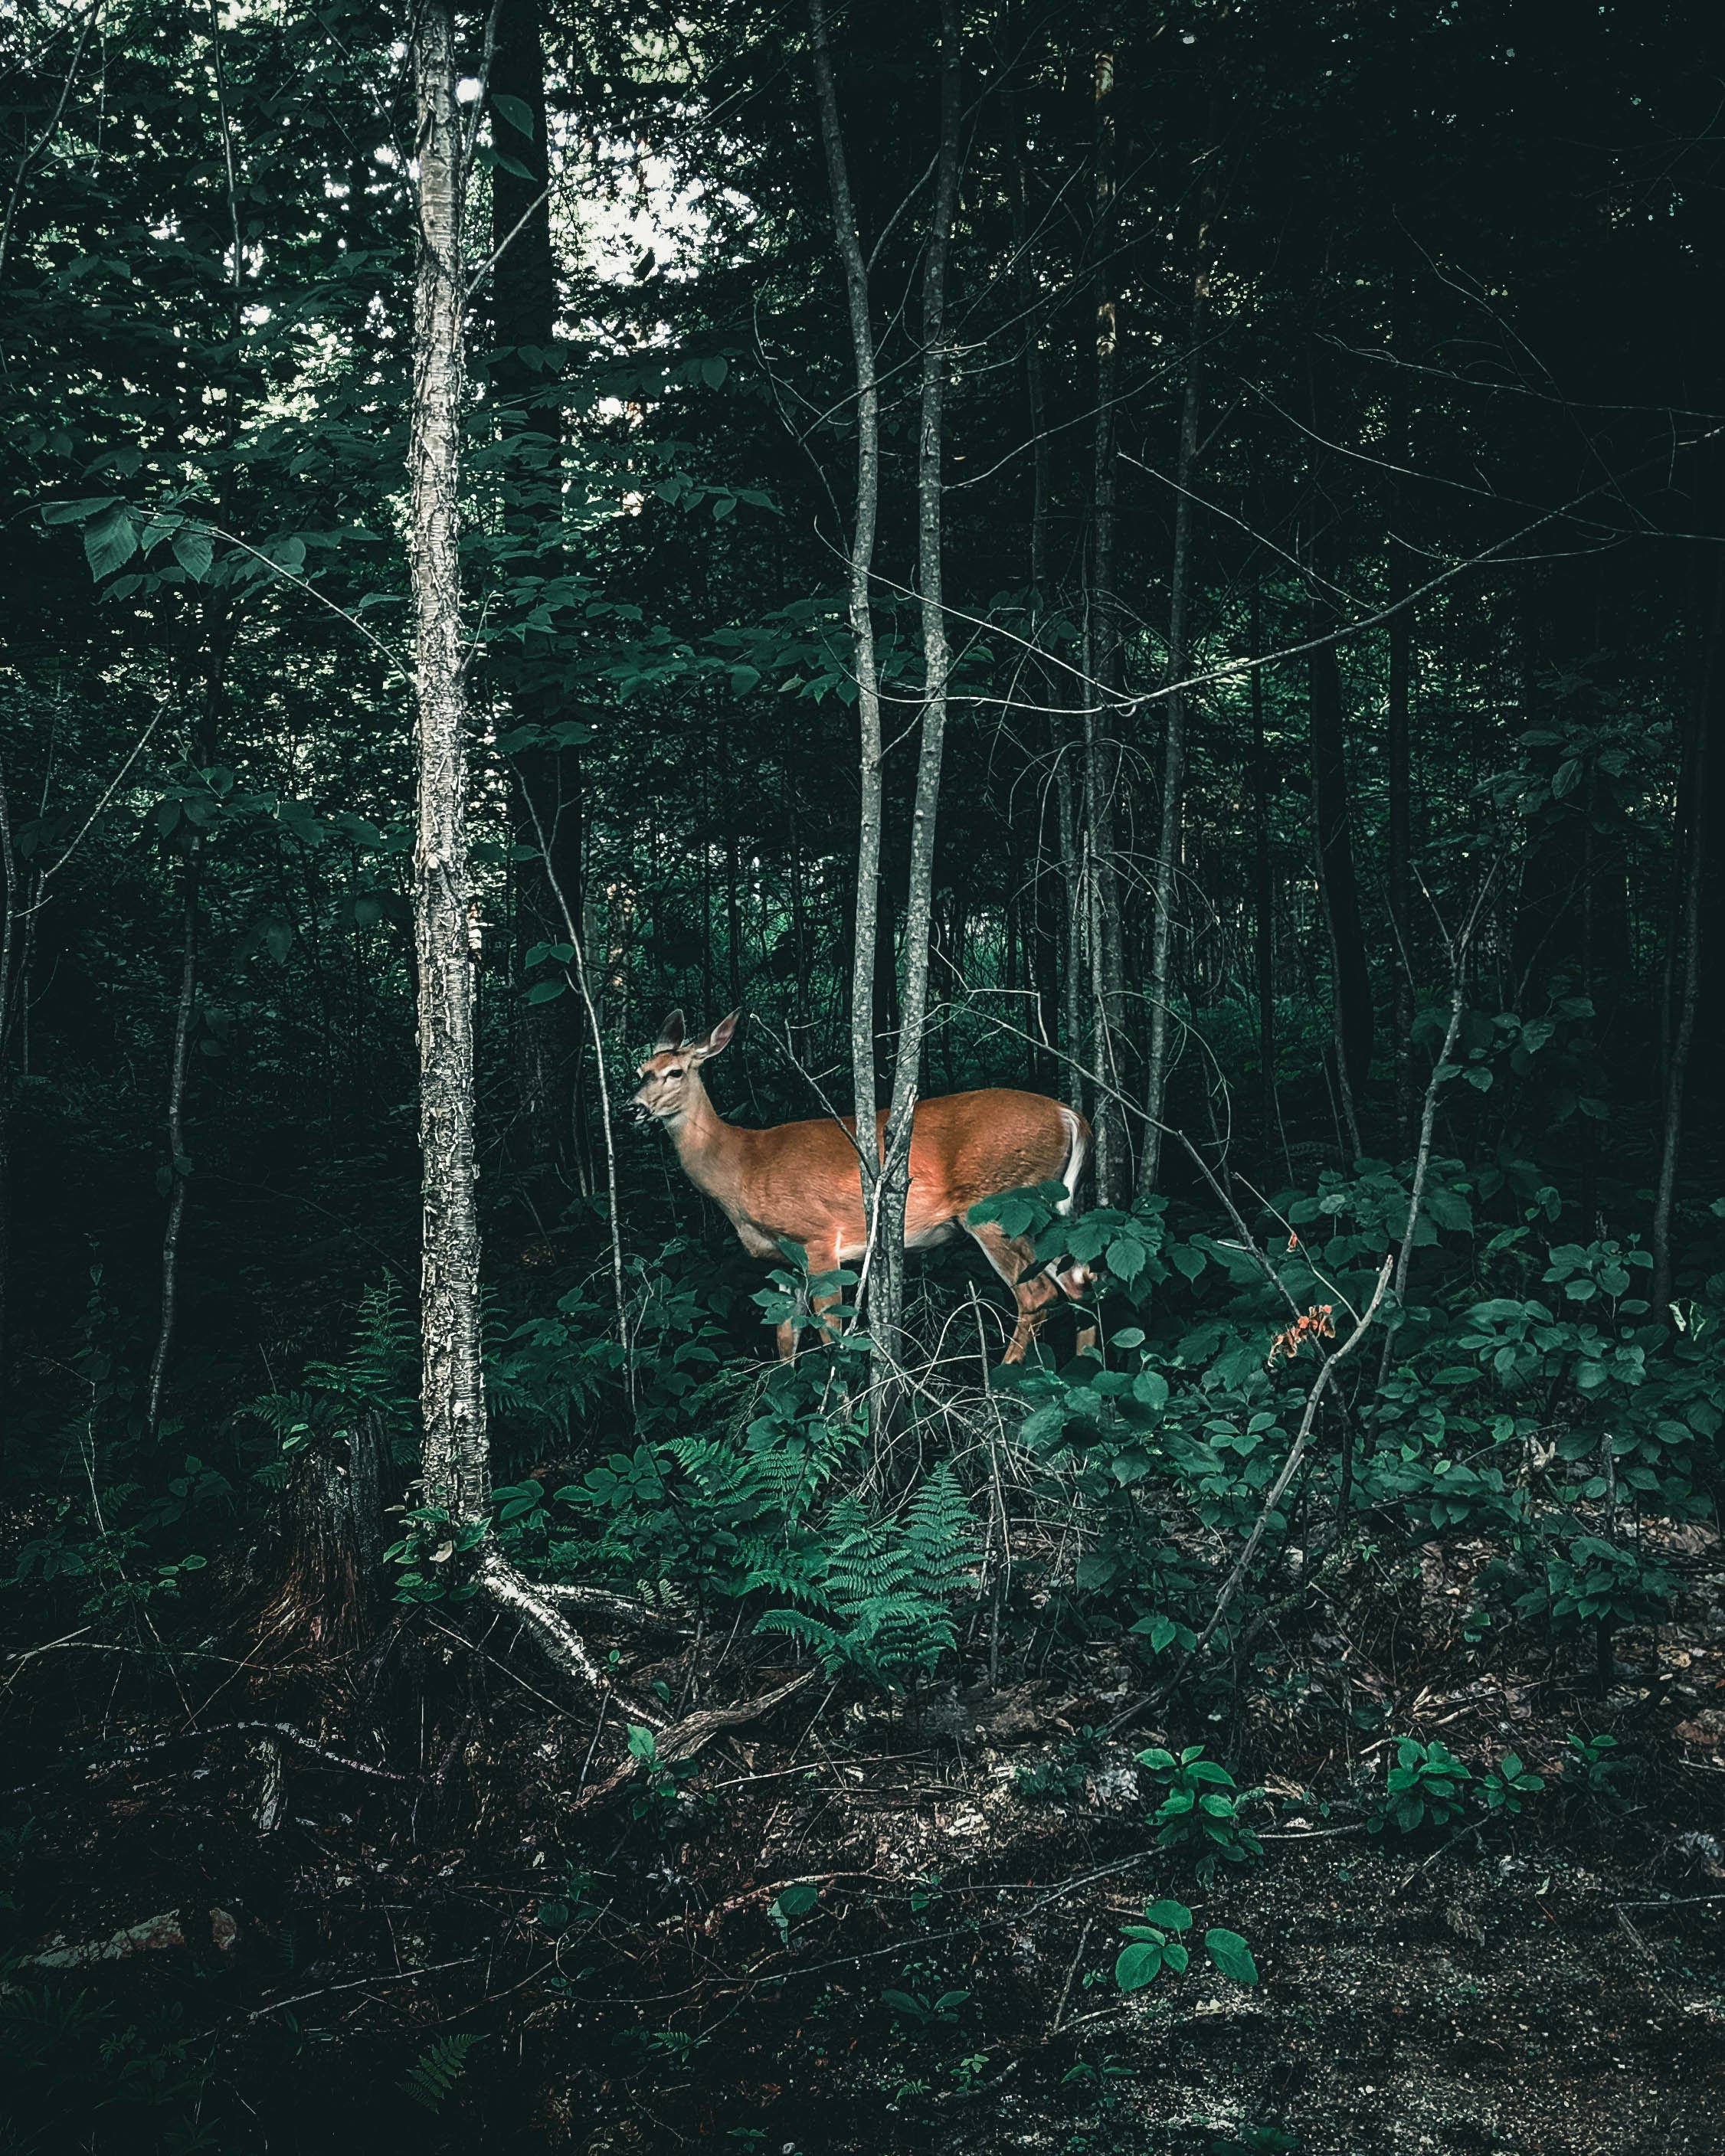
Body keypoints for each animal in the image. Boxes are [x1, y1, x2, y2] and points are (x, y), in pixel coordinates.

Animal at [633, 1013, 1091, 1353]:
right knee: (1081, 1281)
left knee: (1037, 1296)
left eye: (675, 1072)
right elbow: (785, 1335)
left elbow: (830, 1332)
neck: (742, 1163)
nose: (633, 1106)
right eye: (640, 1072)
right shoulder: (785, 1259)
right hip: (1044, 1211)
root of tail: (1070, 1116)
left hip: (997, 1204)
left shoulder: (817, 1238)